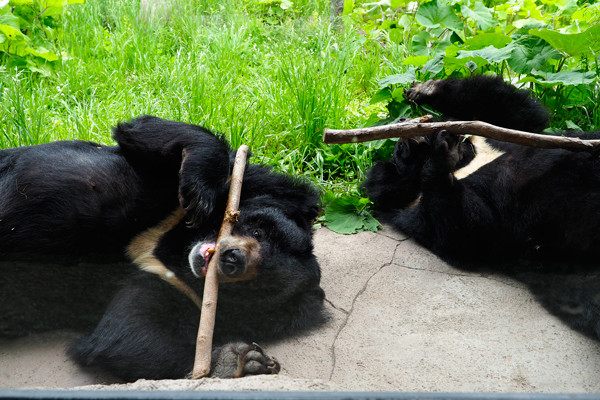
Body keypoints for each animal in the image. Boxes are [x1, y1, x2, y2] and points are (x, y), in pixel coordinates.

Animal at [0, 115, 326, 382]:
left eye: (260, 284)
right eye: (258, 230)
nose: (232, 258)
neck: (170, 249)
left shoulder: (165, 285)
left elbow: (125, 333)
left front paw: (241, 360)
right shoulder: (231, 183)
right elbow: (152, 133)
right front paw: (198, 193)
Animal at [364, 74, 600, 338]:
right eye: (401, 149)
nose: (404, 121)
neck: (468, 158)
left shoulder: (505, 135)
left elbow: (517, 113)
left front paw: (423, 89)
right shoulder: (415, 208)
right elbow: (470, 234)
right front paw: (443, 155)